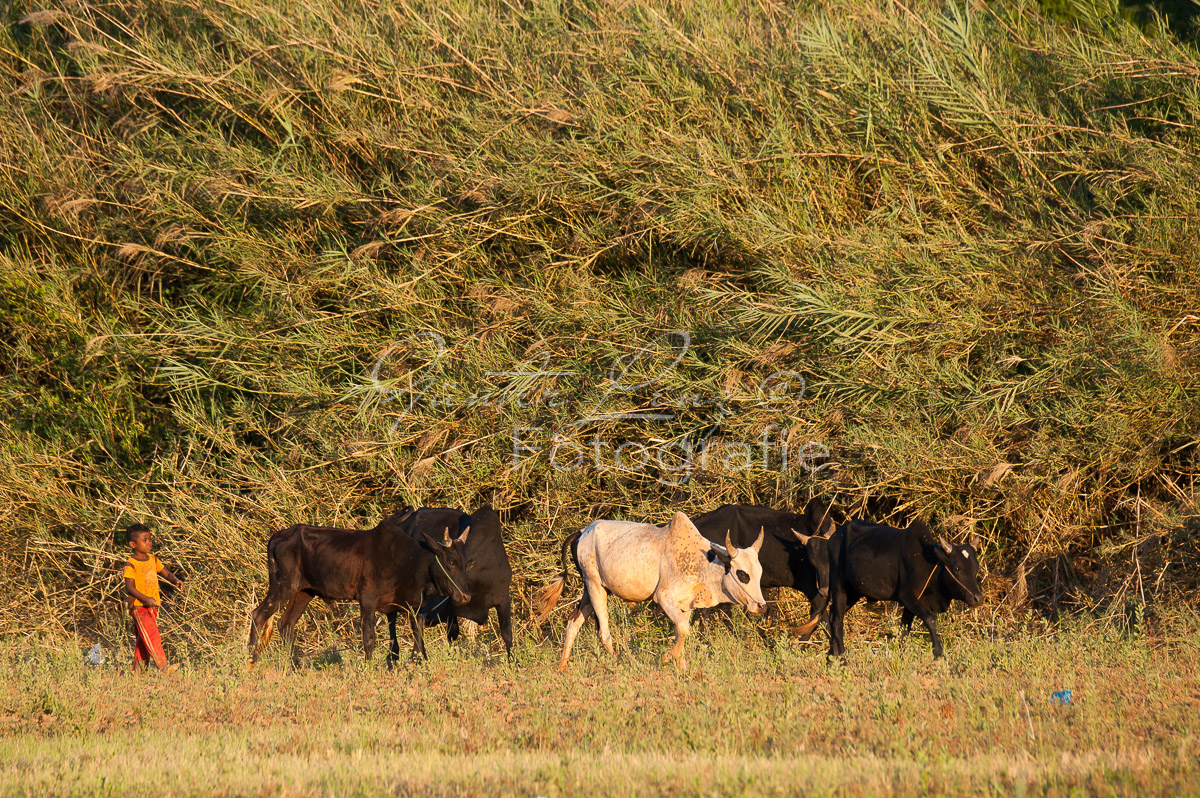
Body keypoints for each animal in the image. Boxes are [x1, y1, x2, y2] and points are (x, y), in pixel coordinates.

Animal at [248, 506, 472, 662]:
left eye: (465, 562)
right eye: (450, 562)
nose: (465, 596)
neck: (409, 559)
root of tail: (277, 536)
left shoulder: (412, 606)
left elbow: (417, 639)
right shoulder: (367, 600)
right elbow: (369, 638)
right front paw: (369, 667)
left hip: (303, 592)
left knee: (286, 624)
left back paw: (296, 666)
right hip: (282, 587)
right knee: (259, 615)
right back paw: (251, 660)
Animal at [691, 499, 840, 633]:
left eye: (830, 558)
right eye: (812, 561)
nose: (825, 590)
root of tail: (697, 522)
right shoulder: (810, 589)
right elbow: (824, 622)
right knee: (704, 613)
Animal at [825, 516, 984, 657]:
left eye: (976, 568)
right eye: (957, 568)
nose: (978, 599)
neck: (929, 563)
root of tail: (834, 537)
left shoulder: (911, 605)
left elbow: (904, 631)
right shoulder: (906, 597)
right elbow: (930, 619)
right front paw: (938, 653)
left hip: (853, 593)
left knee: (832, 614)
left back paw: (831, 654)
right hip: (839, 588)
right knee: (837, 621)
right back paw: (842, 657)